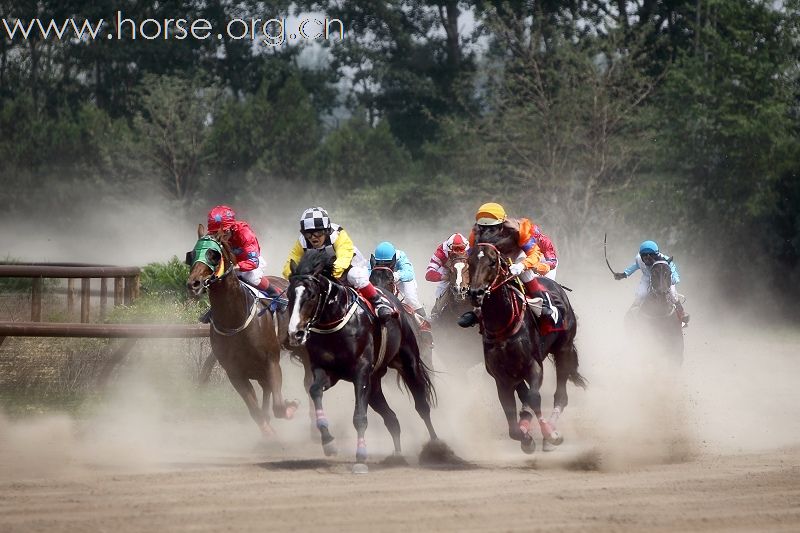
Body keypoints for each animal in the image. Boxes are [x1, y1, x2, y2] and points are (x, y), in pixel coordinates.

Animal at [186, 224, 298, 436]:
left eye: (213, 255)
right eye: (192, 254)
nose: (193, 284)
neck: (234, 320)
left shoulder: (271, 362)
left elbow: (279, 406)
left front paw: (291, 407)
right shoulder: (235, 373)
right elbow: (255, 412)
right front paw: (269, 432)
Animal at [286, 247, 438, 472]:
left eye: (311, 295)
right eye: (289, 295)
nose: (295, 333)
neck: (334, 322)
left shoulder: (361, 372)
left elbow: (359, 417)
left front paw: (361, 457)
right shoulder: (327, 371)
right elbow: (314, 390)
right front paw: (328, 441)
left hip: (408, 362)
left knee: (422, 406)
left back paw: (437, 447)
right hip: (374, 383)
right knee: (392, 418)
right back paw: (397, 455)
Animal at [466, 243, 584, 450]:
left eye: (492, 262)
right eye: (469, 262)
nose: (475, 293)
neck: (503, 325)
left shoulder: (533, 366)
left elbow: (534, 398)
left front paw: (550, 434)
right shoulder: (501, 377)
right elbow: (513, 422)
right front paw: (526, 438)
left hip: (564, 349)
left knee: (560, 395)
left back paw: (550, 432)